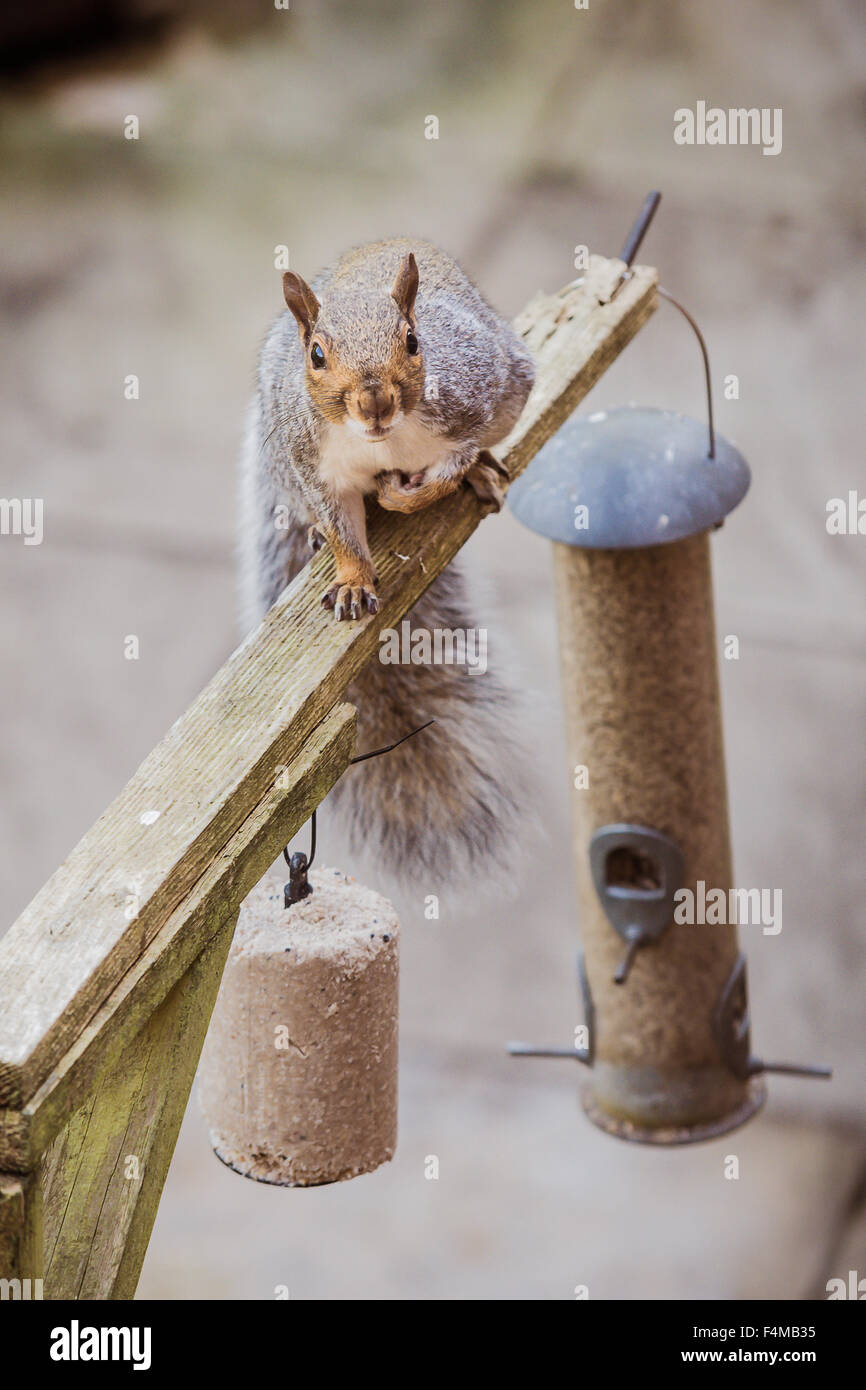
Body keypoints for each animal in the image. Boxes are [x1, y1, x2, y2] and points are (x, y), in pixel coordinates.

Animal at [239, 238, 535, 877]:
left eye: (413, 341)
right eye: (317, 354)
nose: (374, 400)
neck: (382, 442)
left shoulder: (471, 406)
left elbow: (441, 473)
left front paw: (410, 490)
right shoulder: (317, 468)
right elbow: (343, 528)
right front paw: (352, 577)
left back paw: (476, 475)